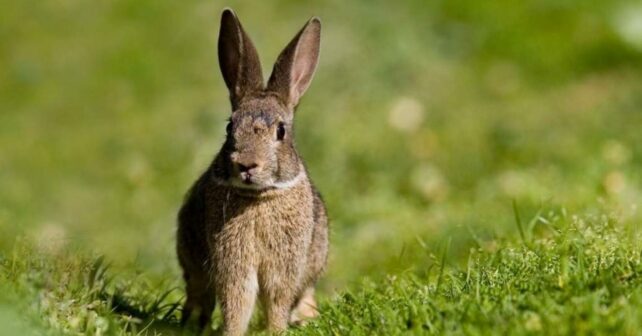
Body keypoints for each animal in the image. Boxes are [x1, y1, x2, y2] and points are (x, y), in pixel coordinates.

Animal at [175, 7, 328, 336]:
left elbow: (277, 300)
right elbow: (237, 301)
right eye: (229, 127)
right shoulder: (232, 264)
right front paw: (232, 332)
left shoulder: (285, 266)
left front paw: (277, 330)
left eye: (281, 131)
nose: (246, 164)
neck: (258, 196)